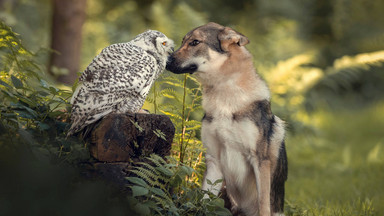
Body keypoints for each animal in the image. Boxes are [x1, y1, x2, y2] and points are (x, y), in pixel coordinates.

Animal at [166, 22, 286, 215]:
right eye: (183, 42)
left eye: (195, 42)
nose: (166, 61)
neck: (224, 92)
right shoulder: (214, 160)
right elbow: (203, 202)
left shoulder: (260, 160)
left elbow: (263, 205)